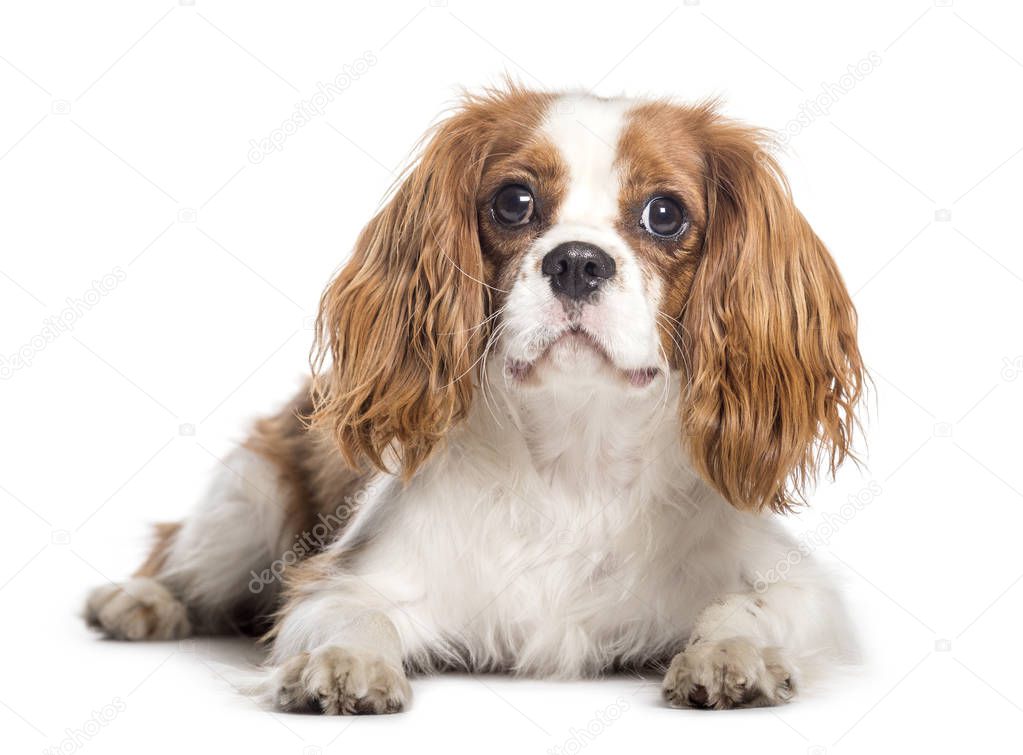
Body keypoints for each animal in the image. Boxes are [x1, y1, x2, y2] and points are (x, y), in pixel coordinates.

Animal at [83, 85, 863, 707]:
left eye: (664, 213)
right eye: (513, 202)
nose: (576, 261)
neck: (575, 461)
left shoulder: (801, 588)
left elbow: (746, 607)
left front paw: (730, 653)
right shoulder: (340, 578)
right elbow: (351, 613)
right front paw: (346, 662)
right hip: (250, 499)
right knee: (182, 554)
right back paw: (140, 598)